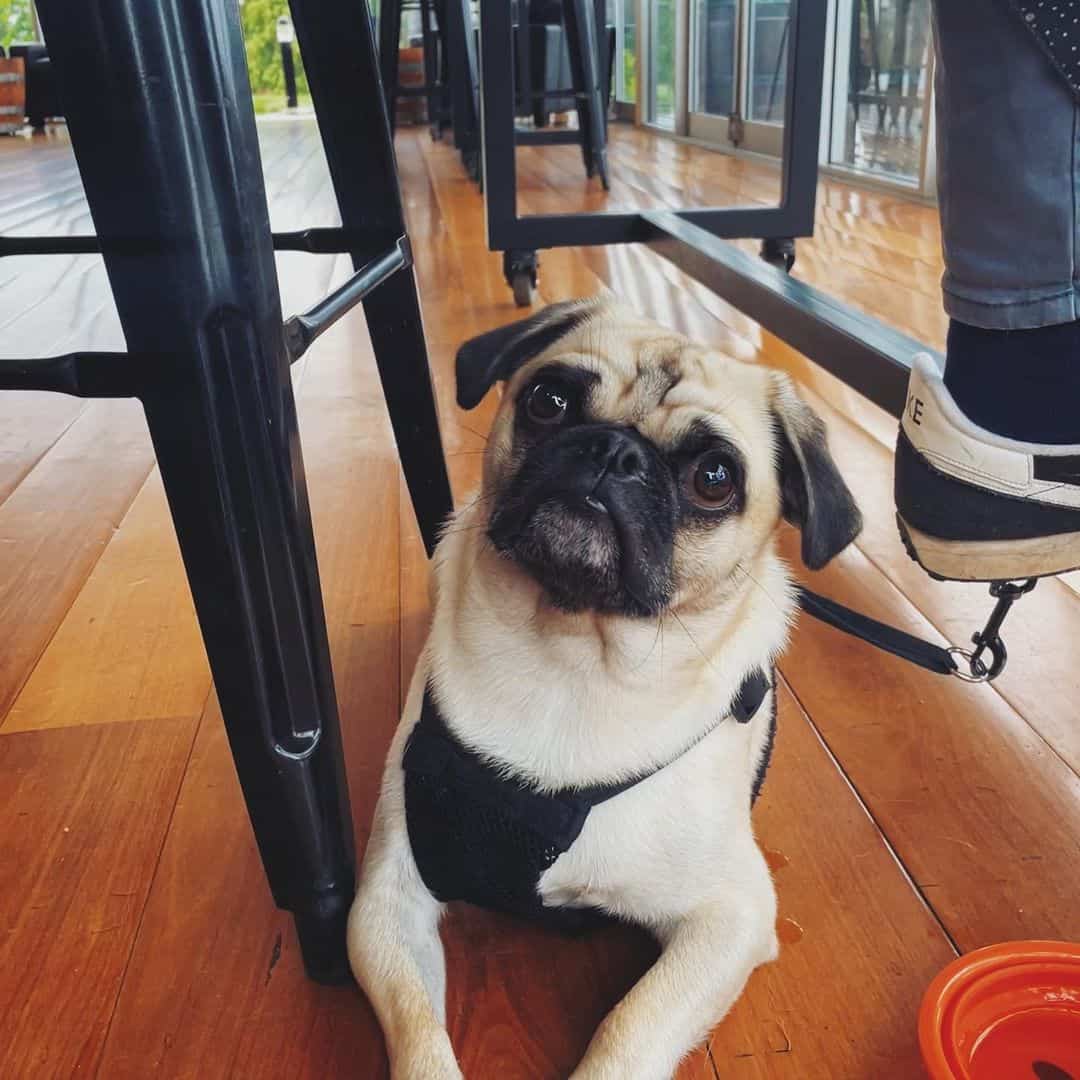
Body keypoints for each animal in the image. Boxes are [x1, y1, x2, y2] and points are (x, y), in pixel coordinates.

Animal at [347, 295, 859, 1080]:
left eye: (715, 478)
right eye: (548, 401)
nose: (615, 452)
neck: (570, 661)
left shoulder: (730, 916)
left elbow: (630, 1025)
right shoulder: (387, 904)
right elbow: (419, 1032)